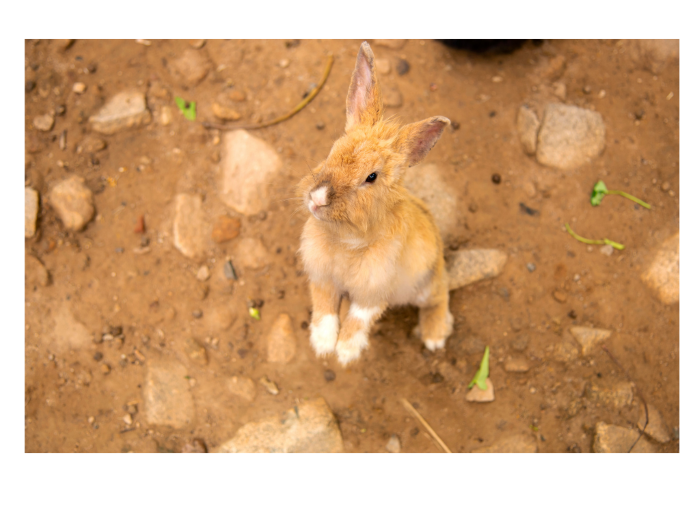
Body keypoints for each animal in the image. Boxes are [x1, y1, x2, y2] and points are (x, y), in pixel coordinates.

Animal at [298, 41, 453, 366]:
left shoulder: (374, 290)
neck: (345, 239)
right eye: (333, 149)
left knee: (440, 296)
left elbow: (358, 320)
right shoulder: (322, 278)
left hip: (425, 285)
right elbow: (324, 309)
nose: (317, 198)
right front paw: (322, 345)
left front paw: (345, 353)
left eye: (371, 177)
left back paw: (434, 338)